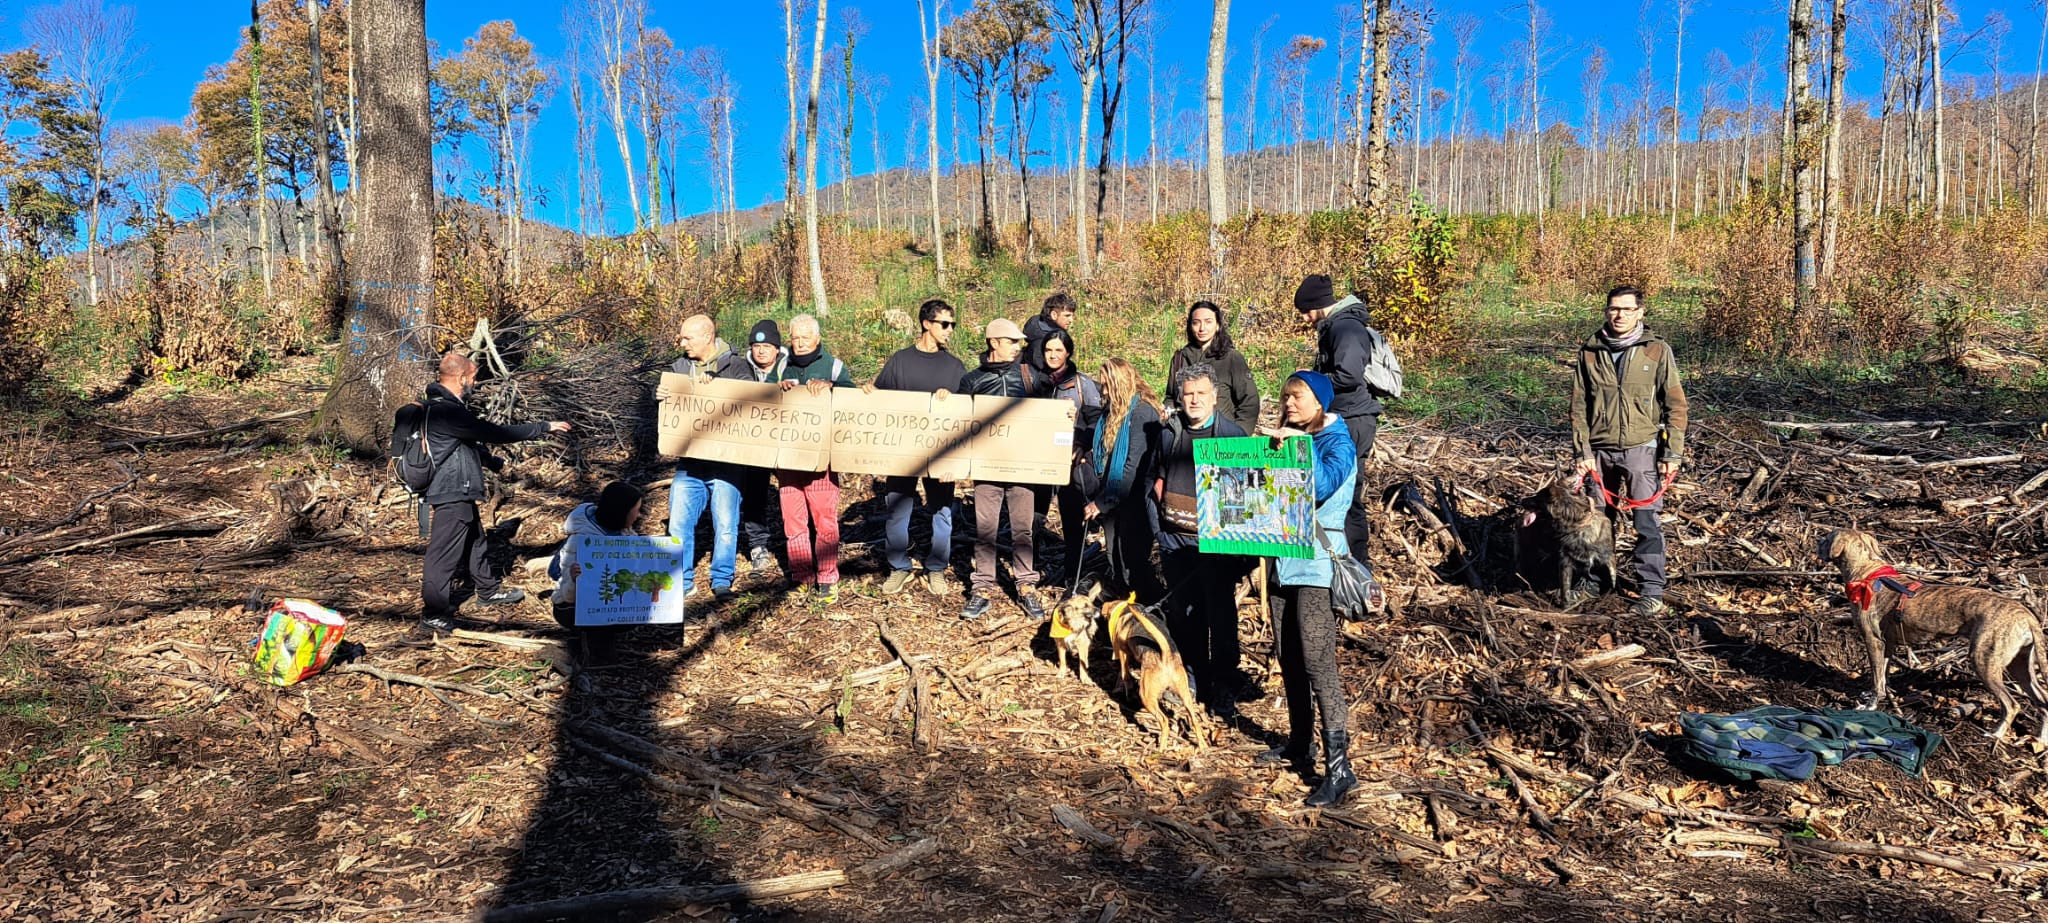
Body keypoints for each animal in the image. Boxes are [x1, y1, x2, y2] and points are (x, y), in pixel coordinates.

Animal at [1114, 597, 1204, 757]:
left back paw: (1161, 747)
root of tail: (1165, 656)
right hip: (1185, 695)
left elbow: (1125, 676)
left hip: (1146, 696)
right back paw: (1203, 746)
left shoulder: (1123, 653)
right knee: (1194, 720)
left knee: (1164, 721)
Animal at [1826, 528, 2048, 744]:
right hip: (2021, 664)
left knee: (2012, 705)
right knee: (2043, 701)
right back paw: (2040, 740)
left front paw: (1869, 706)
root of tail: (2028, 616)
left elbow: (1876, 678)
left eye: (1825, 539)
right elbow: (1882, 675)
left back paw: (1996, 735)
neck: (1868, 573)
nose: (1818, 543)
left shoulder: (1873, 640)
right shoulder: (1888, 643)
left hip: (1984, 660)